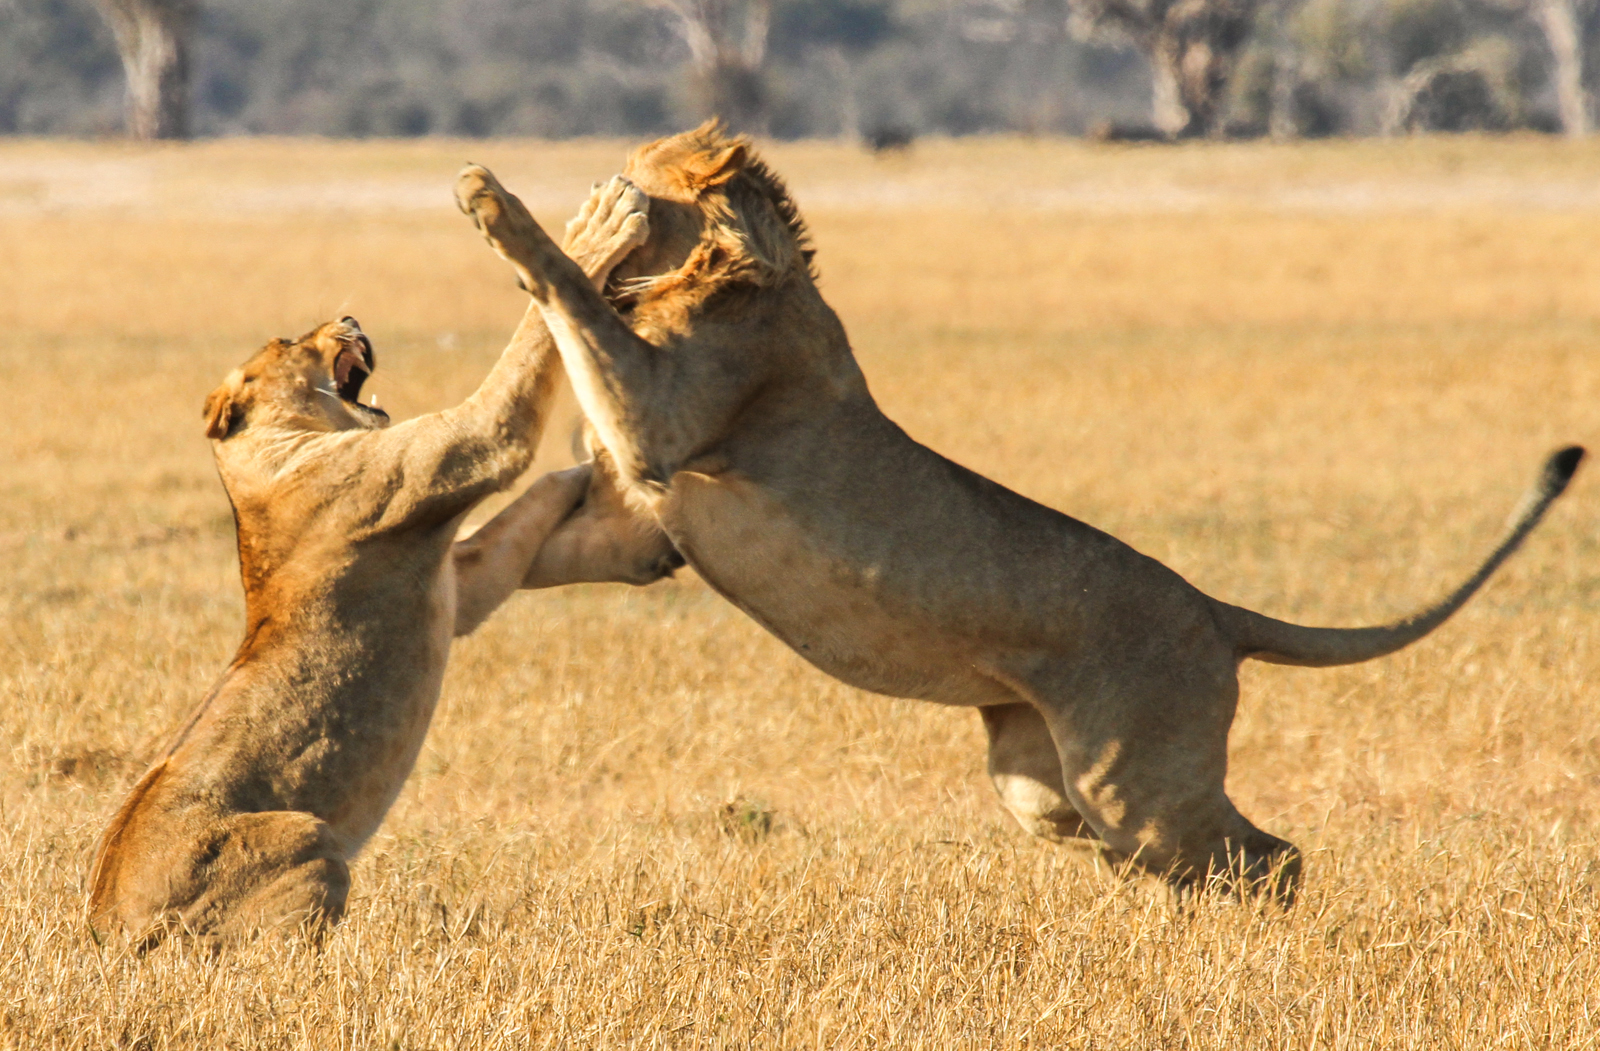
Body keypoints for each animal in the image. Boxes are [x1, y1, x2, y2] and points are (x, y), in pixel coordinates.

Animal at [86, 183, 679, 949]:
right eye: (288, 342)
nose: (349, 316)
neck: (267, 462)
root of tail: (105, 926)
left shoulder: (460, 577)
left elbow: (542, 503)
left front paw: (630, 503)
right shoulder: (473, 444)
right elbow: (527, 352)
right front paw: (596, 228)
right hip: (307, 836)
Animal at [454, 126, 1582, 900]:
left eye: (632, 170)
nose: (598, 184)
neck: (735, 271)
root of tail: (1215, 612)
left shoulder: (664, 418)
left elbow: (575, 300)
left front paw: (522, 212)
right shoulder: (642, 514)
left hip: (1136, 780)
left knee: (1271, 856)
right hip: (1043, 783)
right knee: (1166, 851)